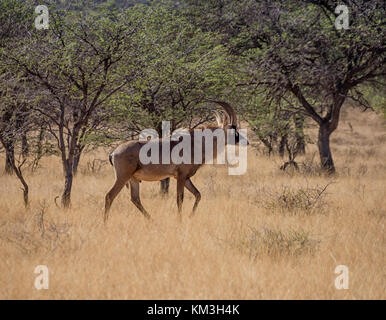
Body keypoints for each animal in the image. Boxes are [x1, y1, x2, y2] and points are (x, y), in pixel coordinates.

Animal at [105, 101, 244, 221]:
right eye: (232, 129)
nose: (245, 141)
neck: (195, 144)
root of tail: (114, 152)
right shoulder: (181, 176)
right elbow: (180, 198)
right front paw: (180, 220)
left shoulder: (185, 178)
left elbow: (198, 194)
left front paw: (190, 216)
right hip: (123, 177)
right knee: (109, 196)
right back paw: (105, 223)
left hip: (133, 179)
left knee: (135, 199)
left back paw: (152, 221)